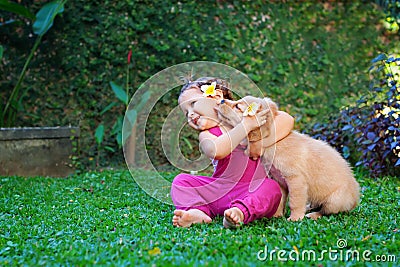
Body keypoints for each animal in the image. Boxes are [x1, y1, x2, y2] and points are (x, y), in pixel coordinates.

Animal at [217, 96, 360, 222]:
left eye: (237, 106)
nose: (221, 100)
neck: (275, 143)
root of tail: (355, 199)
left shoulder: (295, 179)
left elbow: (295, 202)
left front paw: (295, 218)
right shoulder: (278, 180)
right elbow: (281, 199)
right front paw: (277, 215)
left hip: (334, 200)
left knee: (326, 211)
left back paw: (312, 214)